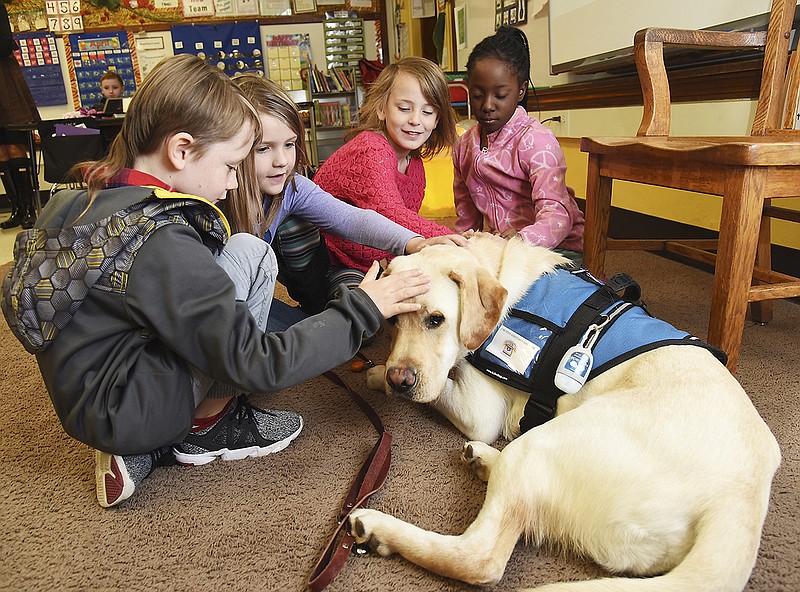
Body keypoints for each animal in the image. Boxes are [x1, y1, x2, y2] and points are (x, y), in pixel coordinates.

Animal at [350, 234, 780, 588]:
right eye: (392, 319)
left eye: (436, 319)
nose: (400, 380)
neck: (497, 268)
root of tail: (741, 497)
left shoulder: (479, 410)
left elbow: (442, 387)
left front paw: (375, 373)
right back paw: (484, 460)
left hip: (544, 443)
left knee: (478, 557)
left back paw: (378, 527)